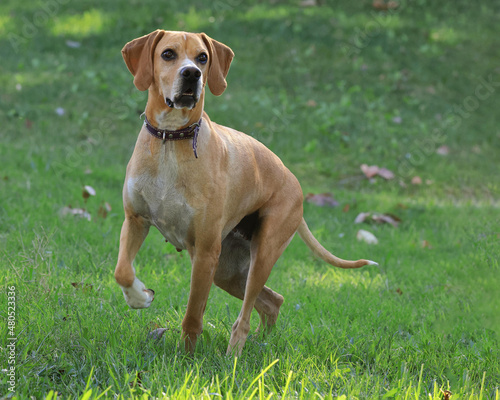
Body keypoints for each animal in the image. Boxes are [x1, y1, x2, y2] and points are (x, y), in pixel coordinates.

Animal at [116, 31, 376, 356]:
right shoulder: (135, 221)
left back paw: (234, 356)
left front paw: (187, 359)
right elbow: (122, 271)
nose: (192, 74)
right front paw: (140, 297)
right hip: (227, 270)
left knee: (245, 317)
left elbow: (192, 316)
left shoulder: (205, 252)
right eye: (168, 54)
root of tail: (294, 182)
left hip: (258, 256)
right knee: (273, 301)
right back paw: (265, 341)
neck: (170, 141)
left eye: (202, 57)